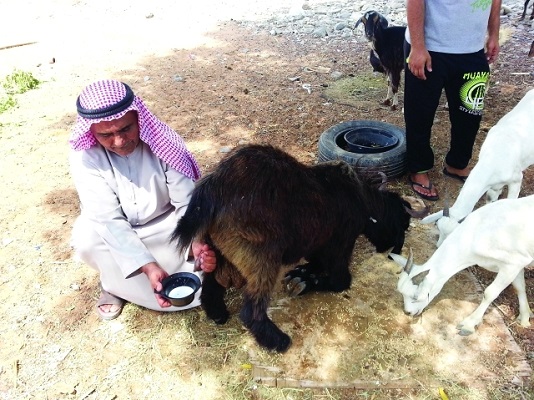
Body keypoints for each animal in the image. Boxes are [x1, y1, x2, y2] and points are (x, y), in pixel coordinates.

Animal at [174, 145, 430, 352]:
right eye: (403, 223)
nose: (390, 249)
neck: (360, 196)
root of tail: (215, 188)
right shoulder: (341, 242)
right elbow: (340, 281)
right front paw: (307, 282)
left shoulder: (316, 243)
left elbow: (313, 263)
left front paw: (302, 274)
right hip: (262, 258)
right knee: (250, 309)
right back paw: (277, 340)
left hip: (217, 249)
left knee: (211, 282)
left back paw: (217, 312)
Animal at [422, 88, 534, 247]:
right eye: (438, 226)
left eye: (454, 234)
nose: (438, 247)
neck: (495, 157)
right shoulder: (493, 186)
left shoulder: (516, 179)